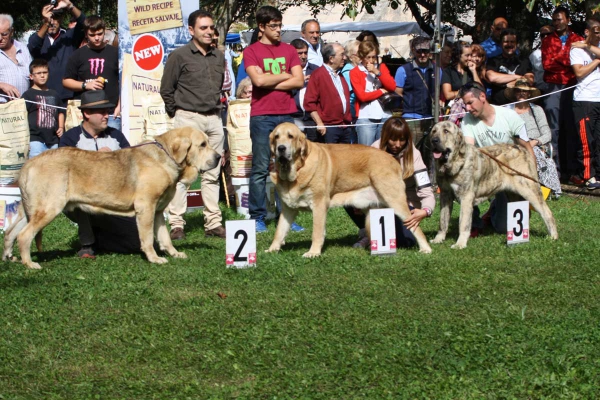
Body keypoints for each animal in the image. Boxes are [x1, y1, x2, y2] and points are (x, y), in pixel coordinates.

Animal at [3, 126, 219, 268]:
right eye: (202, 145)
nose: (218, 157)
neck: (166, 157)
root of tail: (28, 164)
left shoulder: (158, 211)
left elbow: (165, 238)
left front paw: (175, 254)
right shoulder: (146, 208)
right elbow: (148, 238)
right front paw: (154, 258)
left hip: (30, 211)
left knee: (10, 233)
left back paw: (9, 257)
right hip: (49, 208)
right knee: (24, 236)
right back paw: (30, 264)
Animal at [268, 122, 432, 258]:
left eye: (290, 136)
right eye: (276, 137)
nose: (281, 148)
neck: (296, 171)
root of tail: (393, 160)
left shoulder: (319, 205)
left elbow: (317, 232)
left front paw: (313, 252)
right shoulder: (288, 209)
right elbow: (279, 231)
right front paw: (272, 249)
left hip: (395, 201)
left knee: (415, 227)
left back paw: (425, 248)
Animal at [428, 120, 556, 248]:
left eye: (446, 131)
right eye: (433, 131)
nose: (434, 140)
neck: (454, 163)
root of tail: (521, 148)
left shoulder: (466, 197)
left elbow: (463, 222)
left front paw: (460, 244)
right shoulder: (445, 195)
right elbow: (443, 221)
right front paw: (438, 239)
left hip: (529, 190)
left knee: (547, 213)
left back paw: (553, 237)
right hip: (513, 196)